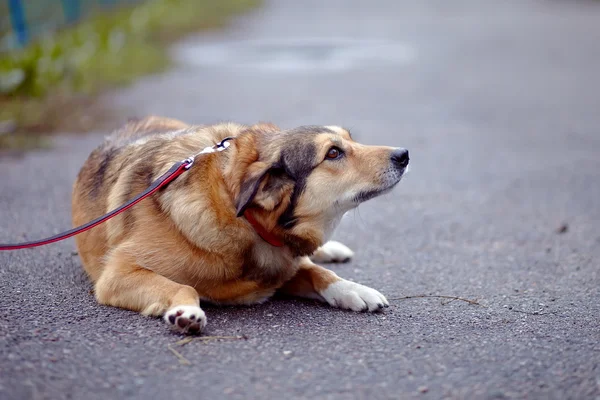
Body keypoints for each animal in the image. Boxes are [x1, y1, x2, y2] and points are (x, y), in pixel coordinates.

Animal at [69, 116, 408, 334]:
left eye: (350, 140)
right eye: (333, 153)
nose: (403, 154)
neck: (244, 219)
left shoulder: (282, 266)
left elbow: (318, 272)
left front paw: (352, 289)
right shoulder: (116, 275)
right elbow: (184, 286)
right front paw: (186, 311)